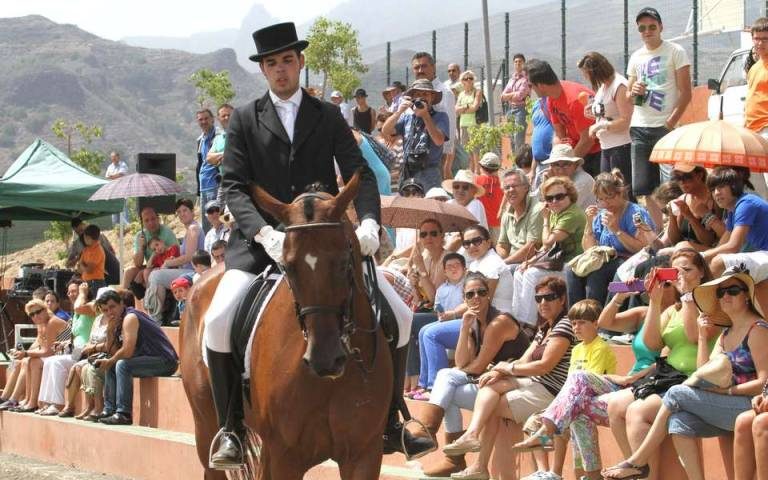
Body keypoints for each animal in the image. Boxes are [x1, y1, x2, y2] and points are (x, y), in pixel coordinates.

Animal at [182, 173, 392, 480]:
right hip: (206, 425)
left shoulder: (363, 453)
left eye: (344, 262)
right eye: (289, 268)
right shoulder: (286, 455)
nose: (325, 360)